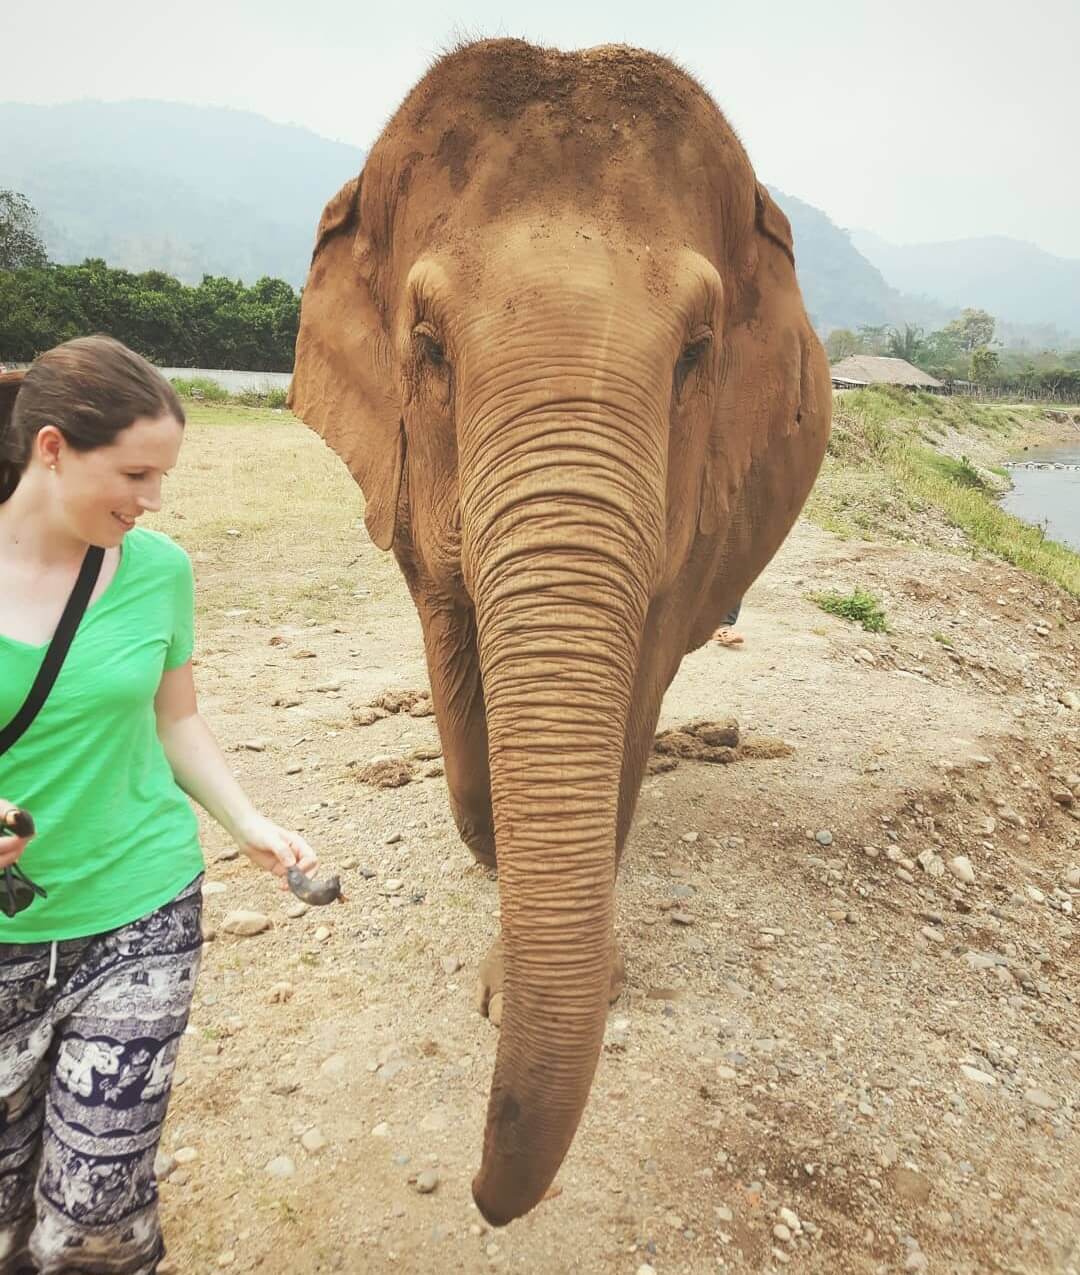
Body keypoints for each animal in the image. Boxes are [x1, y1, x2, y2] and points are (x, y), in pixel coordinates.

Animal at [291, 39, 831, 1229]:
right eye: (429, 346)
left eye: (696, 353)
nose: (484, 1197)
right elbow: (450, 647)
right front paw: (490, 851)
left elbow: (638, 681)